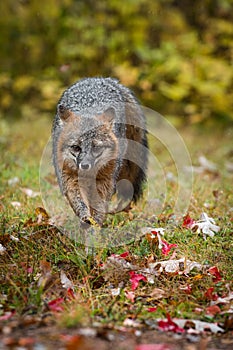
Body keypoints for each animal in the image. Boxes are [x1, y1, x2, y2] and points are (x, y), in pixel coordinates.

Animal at [52, 77, 148, 226]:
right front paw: (85, 218)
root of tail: (99, 78)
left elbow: (99, 207)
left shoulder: (106, 181)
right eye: (76, 147)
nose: (85, 165)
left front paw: (96, 224)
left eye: (96, 147)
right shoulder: (70, 180)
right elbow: (79, 203)